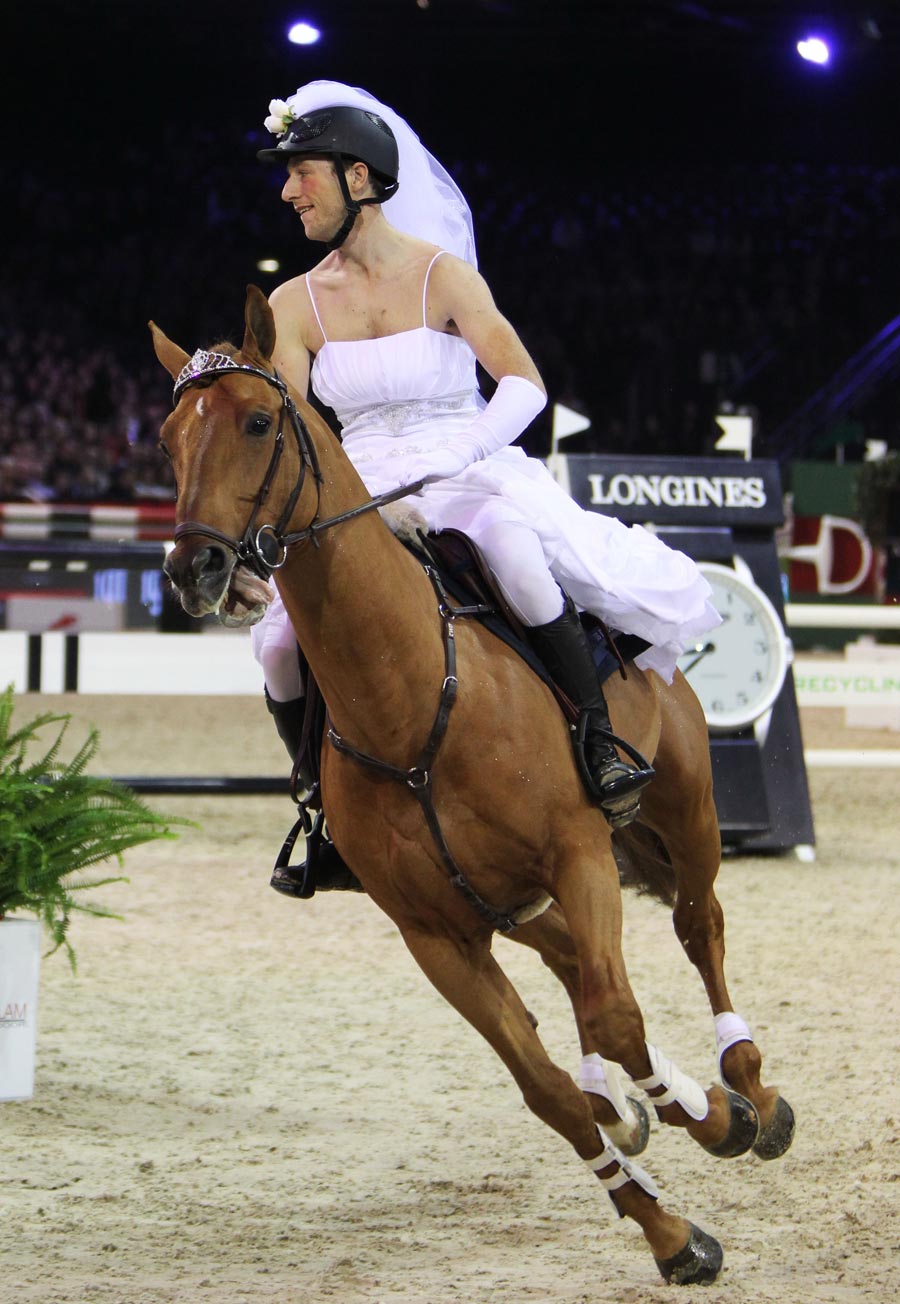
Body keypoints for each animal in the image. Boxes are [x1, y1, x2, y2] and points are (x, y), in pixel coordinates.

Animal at [152, 288, 793, 1283]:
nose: (196, 570)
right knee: (573, 968)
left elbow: (618, 1017)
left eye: (257, 421)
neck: (408, 697)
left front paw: (714, 1117)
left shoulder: (579, 855)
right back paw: (637, 1107)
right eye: (168, 440)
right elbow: (545, 1088)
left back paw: (747, 1087)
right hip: (508, 904)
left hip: (683, 806)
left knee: (698, 928)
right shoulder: (437, 935)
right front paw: (668, 1229)